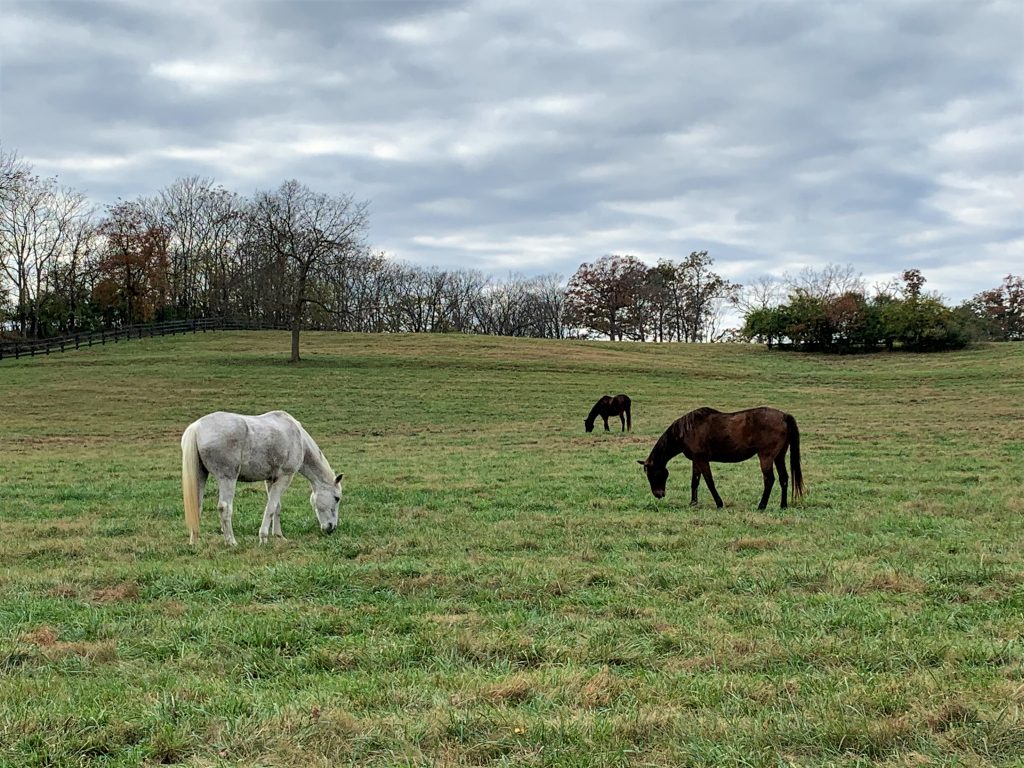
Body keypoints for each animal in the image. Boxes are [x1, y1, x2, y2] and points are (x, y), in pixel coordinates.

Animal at [181, 411, 344, 544]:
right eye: (337, 498)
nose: (332, 528)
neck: (299, 439)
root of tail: (197, 427)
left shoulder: (271, 479)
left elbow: (277, 506)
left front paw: (278, 535)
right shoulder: (285, 477)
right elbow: (270, 507)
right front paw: (263, 537)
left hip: (201, 476)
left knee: (197, 506)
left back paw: (194, 542)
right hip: (227, 479)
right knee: (224, 507)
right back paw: (232, 542)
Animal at [634, 409, 802, 512]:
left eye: (653, 474)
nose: (659, 494)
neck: (688, 430)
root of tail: (784, 416)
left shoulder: (702, 460)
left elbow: (709, 482)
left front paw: (719, 503)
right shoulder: (696, 460)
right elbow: (695, 481)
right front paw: (693, 503)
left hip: (766, 456)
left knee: (769, 479)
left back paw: (761, 505)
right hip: (779, 456)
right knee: (784, 478)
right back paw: (783, 505)